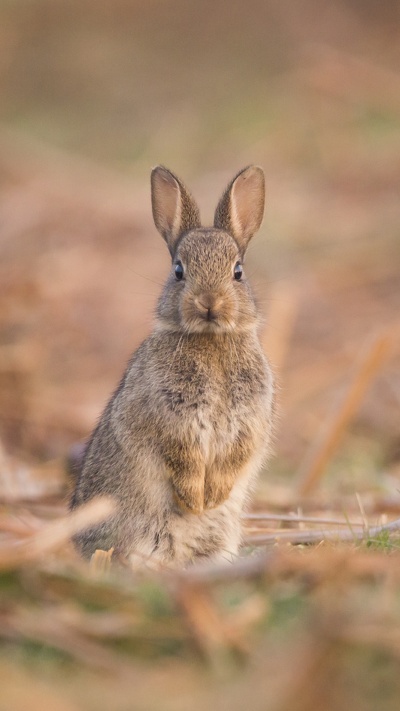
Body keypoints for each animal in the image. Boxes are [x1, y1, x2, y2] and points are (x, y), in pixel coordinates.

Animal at [71, 165, 276, 568]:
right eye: (179, 270)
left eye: (238, 271)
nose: (209, 302)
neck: (210, 339)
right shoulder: (171, 418)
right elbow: (183, 457)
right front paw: (195, 501)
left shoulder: (249, 420)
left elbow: (235, 456)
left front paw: (212, 497)